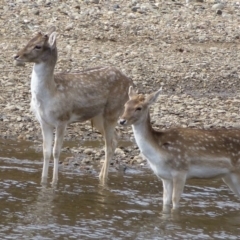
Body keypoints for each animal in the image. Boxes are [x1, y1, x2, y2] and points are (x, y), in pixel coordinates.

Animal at [14, 26, 132, 185]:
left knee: (109, 145)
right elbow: (45, 151)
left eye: (38, 46)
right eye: (29, 39)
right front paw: (43, 181)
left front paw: (54, 182)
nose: (16, 56)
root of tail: (129, 81)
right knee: (114, 140)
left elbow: (56, 151)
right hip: (98, 117)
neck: (51, 93)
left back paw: (103, 180)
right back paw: (100, 176)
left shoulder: (62, 119)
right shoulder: (44, 121)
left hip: (113, 110)